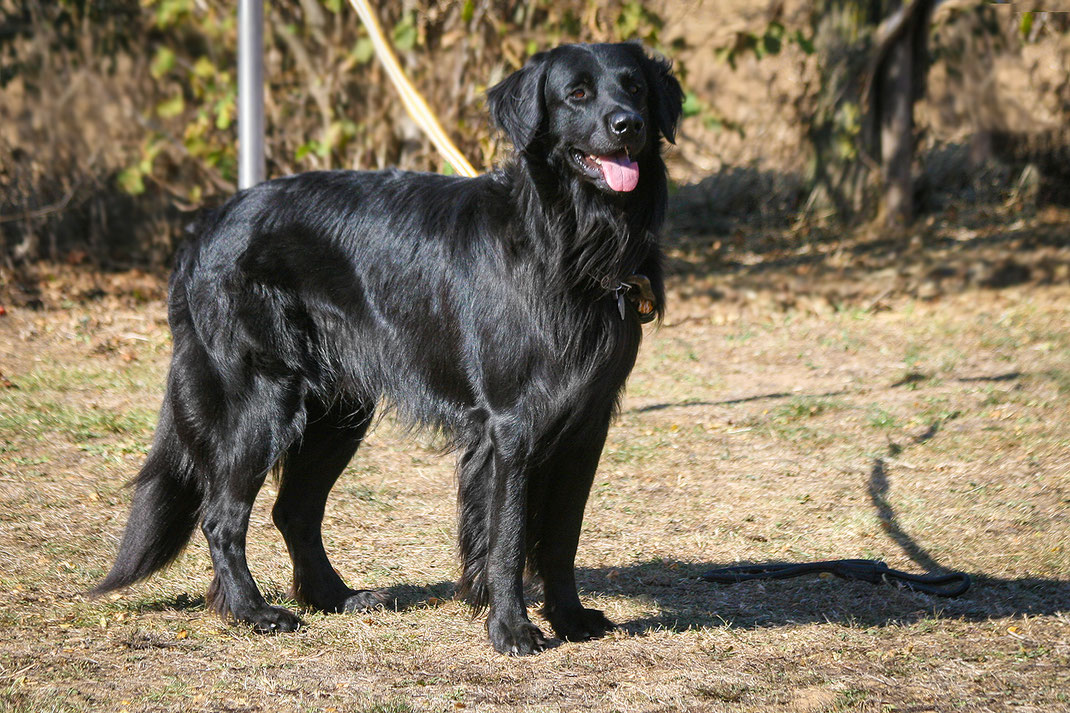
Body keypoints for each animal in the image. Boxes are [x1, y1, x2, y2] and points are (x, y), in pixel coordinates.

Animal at [92, 41, 680, 650]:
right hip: (262, 397)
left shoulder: (586, 423)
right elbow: (509, 536)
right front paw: (512, 629)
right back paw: (253, 612)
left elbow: (563, 533)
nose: (628, 125)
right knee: (221, 515)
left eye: (635, 88)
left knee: (293, 510)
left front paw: (571, 618)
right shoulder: (511, 425)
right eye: (578, 94)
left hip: (337, 412)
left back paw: (334, 597)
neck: (566, 240)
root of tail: (207, 227)